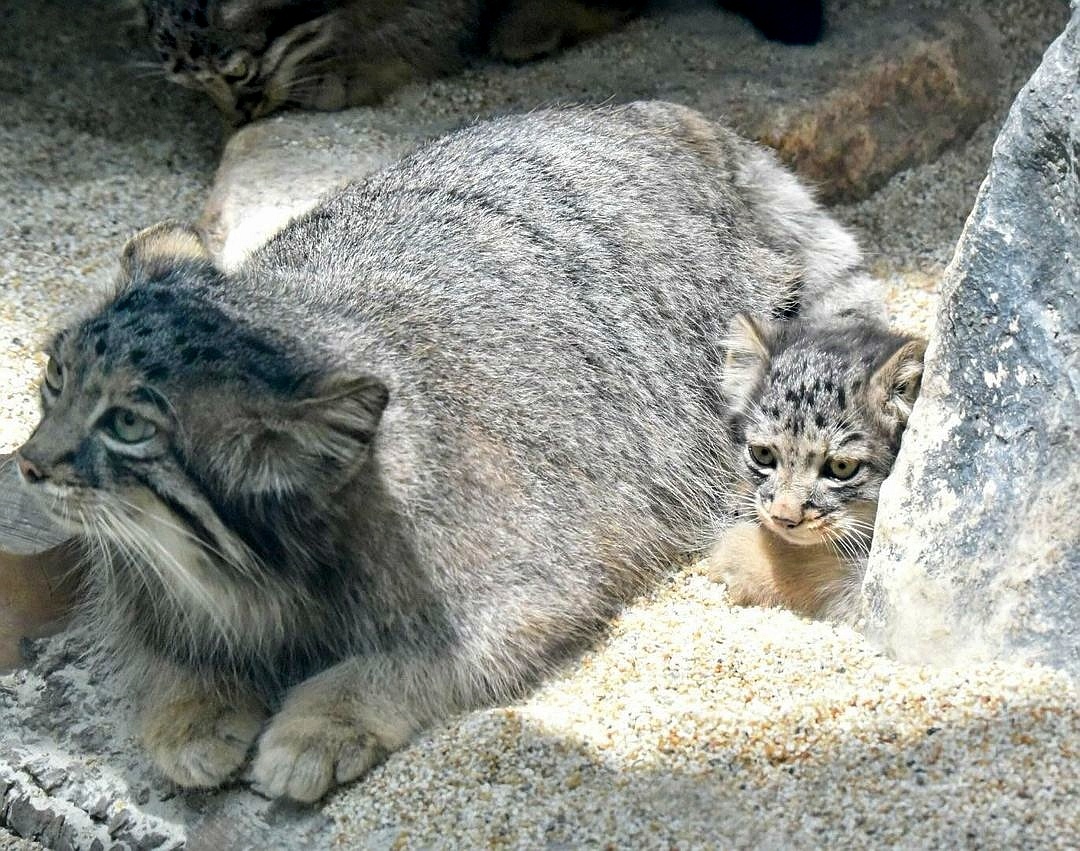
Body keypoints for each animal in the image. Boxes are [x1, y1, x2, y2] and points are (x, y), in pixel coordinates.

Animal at [14, 103, 876, 799]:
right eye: (54, 377)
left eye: (129, 424)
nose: (27, 462)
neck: (257, 572)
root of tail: (689, 124)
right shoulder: (150, 592)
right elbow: (161, 654)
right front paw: (190, 711)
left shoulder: (531, 582)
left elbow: (411, 659)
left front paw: (319, 723)